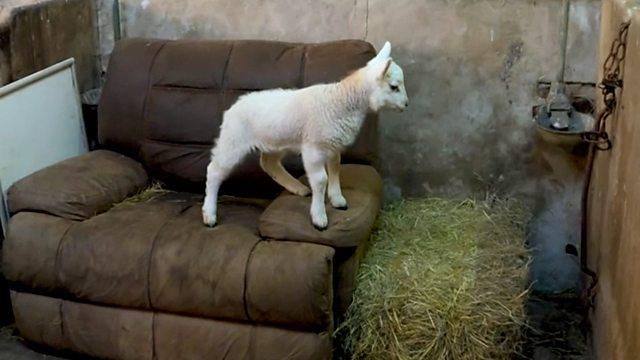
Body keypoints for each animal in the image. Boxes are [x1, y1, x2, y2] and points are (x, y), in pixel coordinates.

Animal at [202, 41, 408, 228]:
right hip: (233, 139)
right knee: (214, 171)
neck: (342, 101)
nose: (406, 104)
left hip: (276, 141)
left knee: (269, 163)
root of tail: (233, 107)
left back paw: (298, 188)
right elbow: (321, 180)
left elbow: (335, 168)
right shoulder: (314, 148)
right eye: (393, 87)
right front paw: (319, 217)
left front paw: (337, 199)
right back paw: (209, 214)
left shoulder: (332, 145)